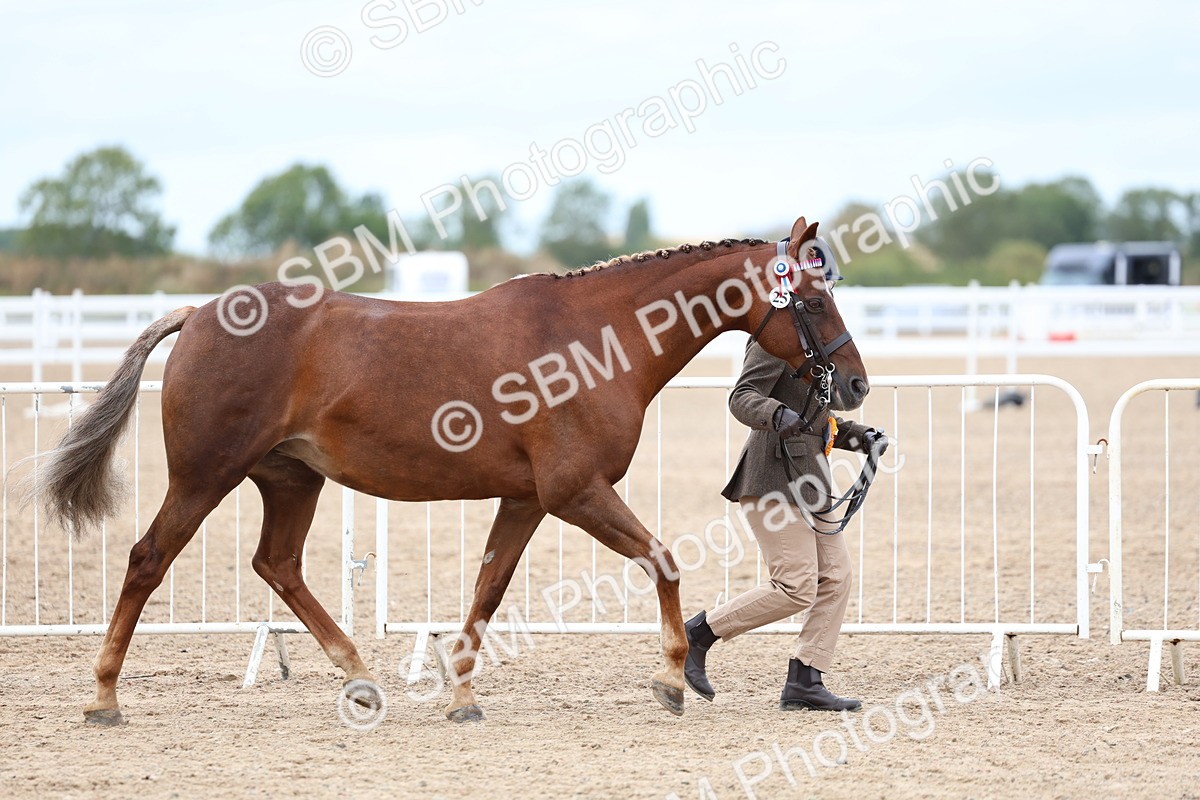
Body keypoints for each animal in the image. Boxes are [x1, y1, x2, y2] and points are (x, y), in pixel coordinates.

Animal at [32, 216, 868, 725]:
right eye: (814, 298)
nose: (855, 387)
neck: (594, 340)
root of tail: (200, 313)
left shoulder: (528, 500)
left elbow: (488, 589)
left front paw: (461, 695)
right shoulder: (577, 492)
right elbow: (662, 563)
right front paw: (670, 680)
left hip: (291, 479)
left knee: (278, 565)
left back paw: (360, 677)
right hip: (205, 477)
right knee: (148, 560)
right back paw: (104, 697)